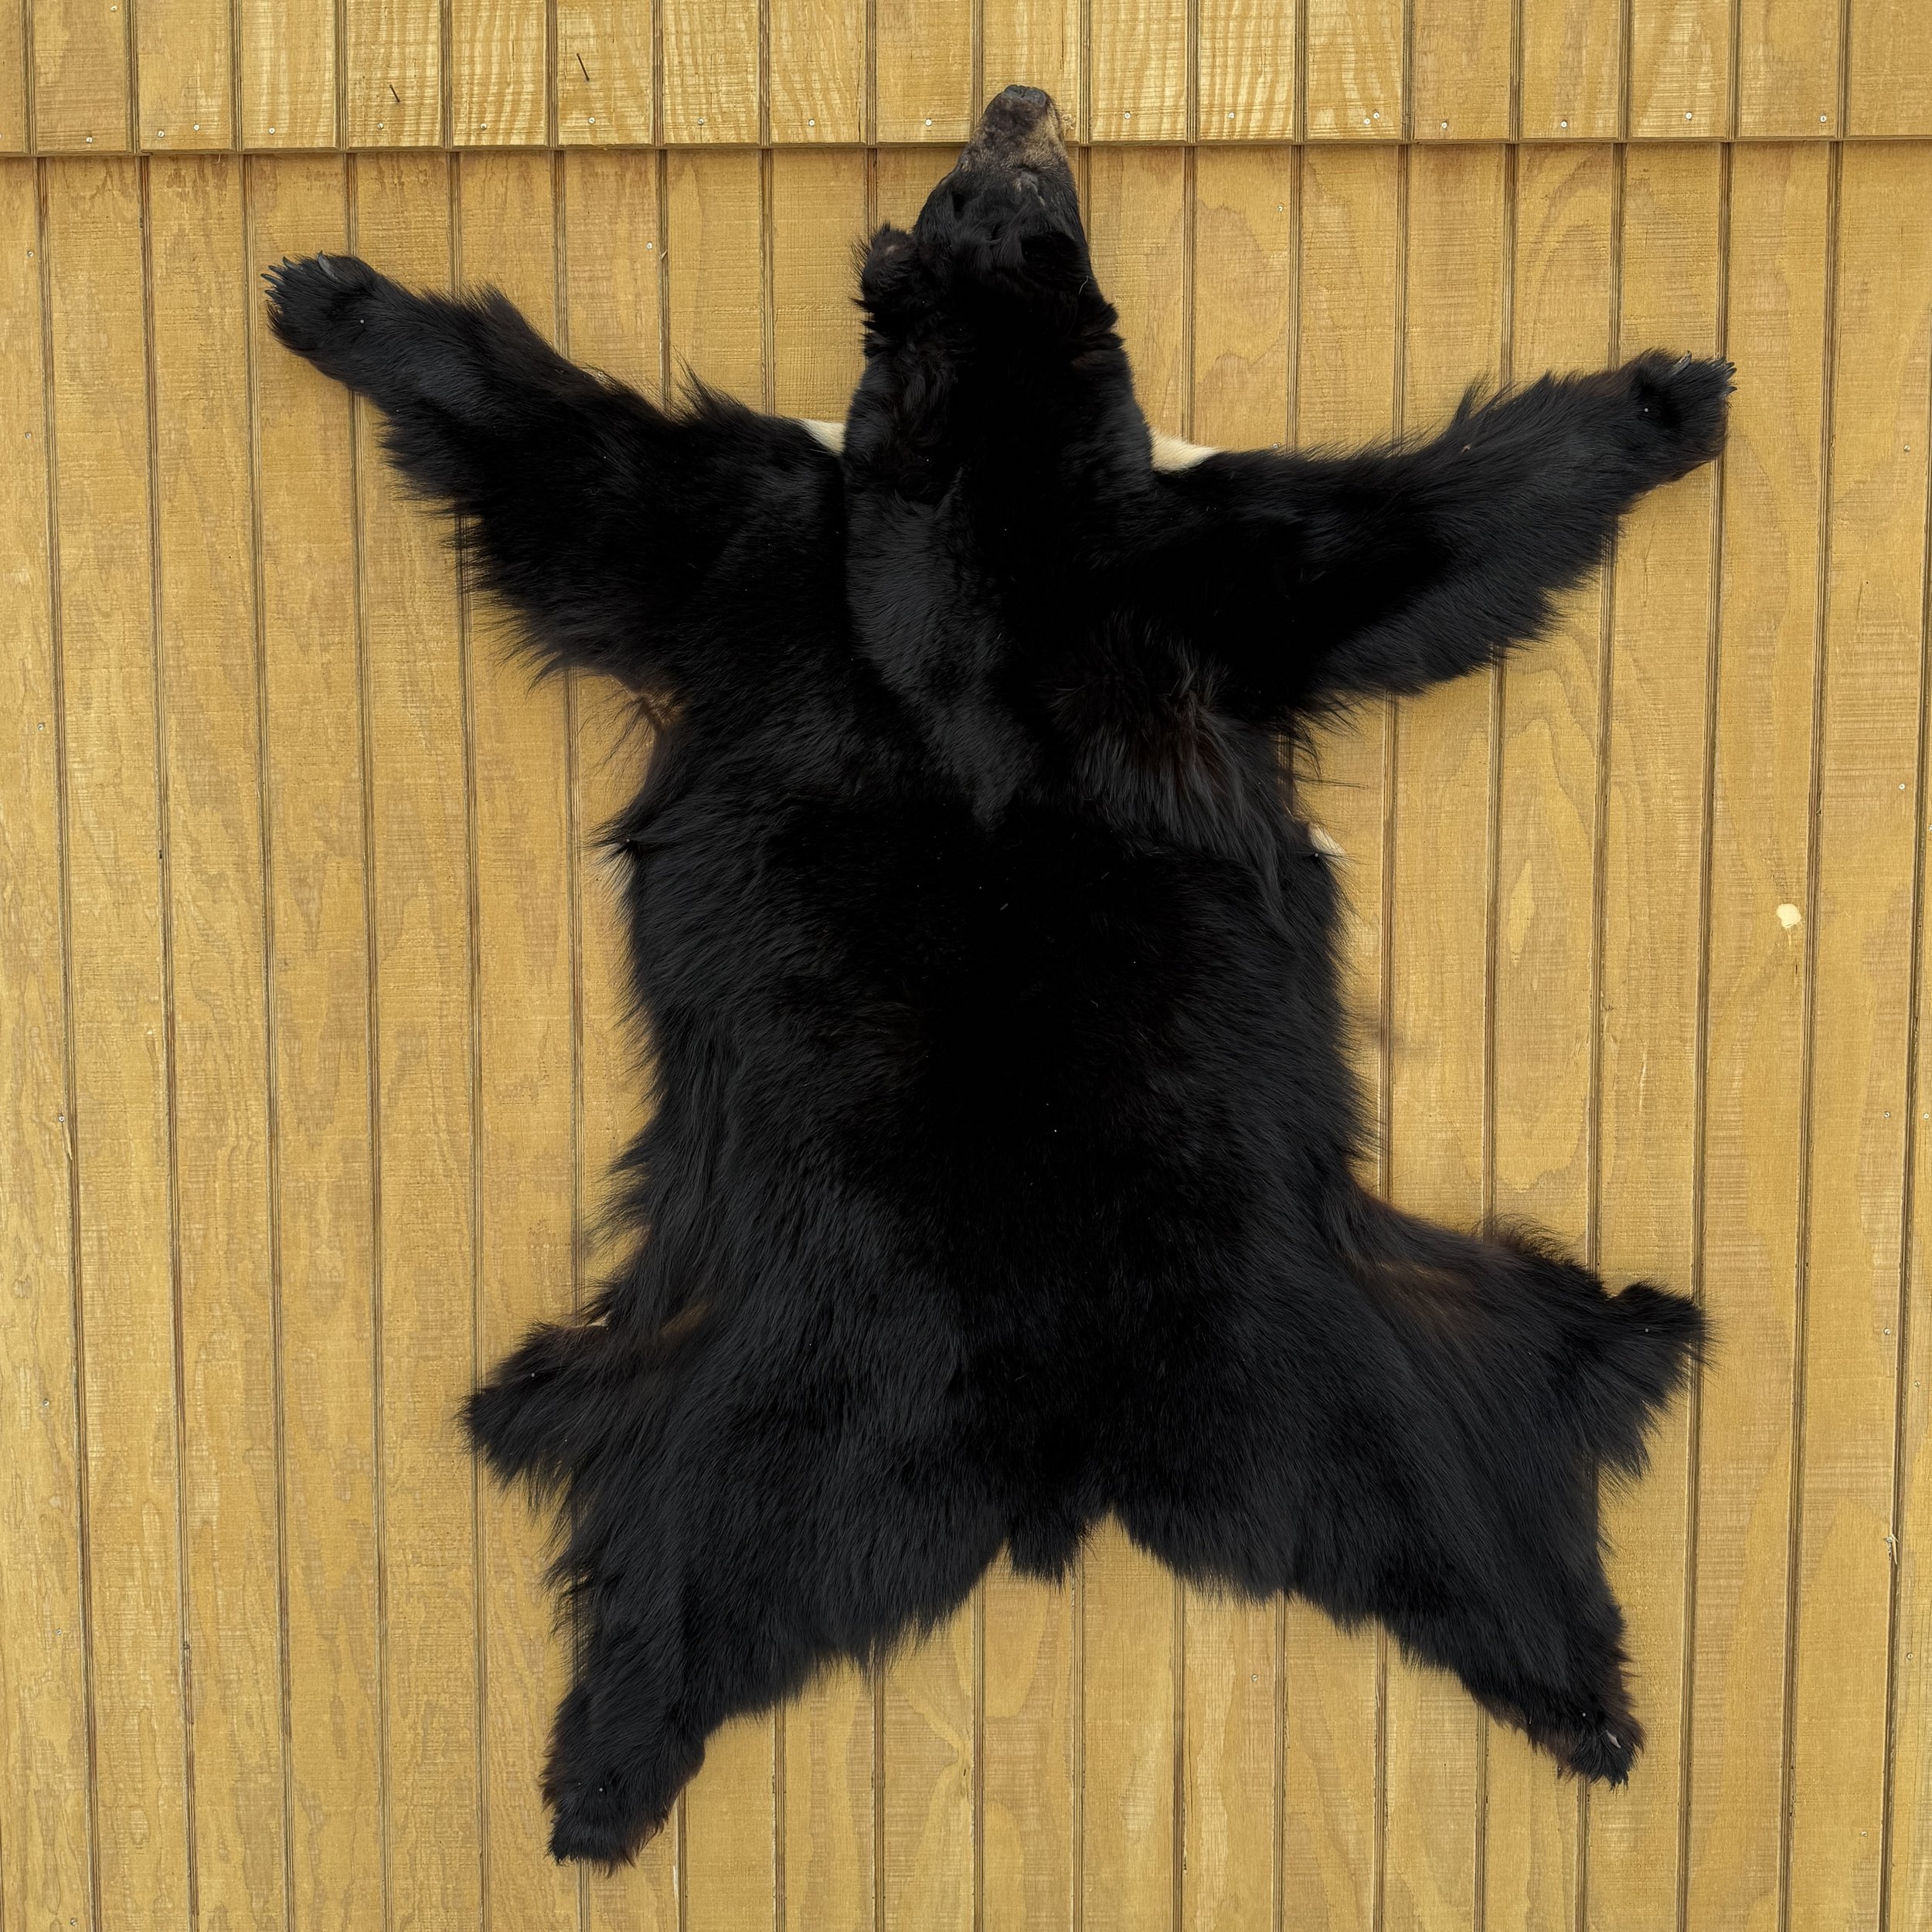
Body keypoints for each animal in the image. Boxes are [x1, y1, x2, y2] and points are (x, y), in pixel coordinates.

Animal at [266, 82, 1724, 1867]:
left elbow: (1420, 531)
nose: (1020, 98)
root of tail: (1058, 1469)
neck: (991, 487)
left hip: (1337, 1350)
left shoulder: (1123, 560)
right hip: (780, 1380)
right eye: (981, 187)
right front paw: (331, 293)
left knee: (1469, 1473)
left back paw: (1580, 1684)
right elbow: (578, 470)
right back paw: (603, 1769)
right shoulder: (818, 537)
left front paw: (1668, 395)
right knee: (681, 1557)